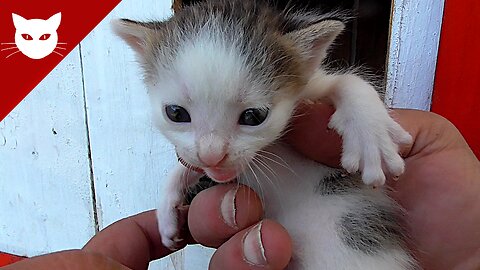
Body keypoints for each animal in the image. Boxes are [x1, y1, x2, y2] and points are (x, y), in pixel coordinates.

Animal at [112, 0, 416, 268]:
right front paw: (166, 211)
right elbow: (186, 163)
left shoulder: (311, 88)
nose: (212, 156)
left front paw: (371, 136)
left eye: (253, 116)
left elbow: (347, 81)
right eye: (175, 113)